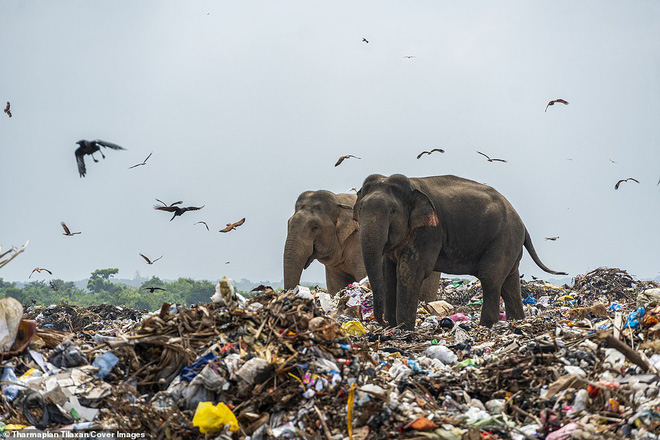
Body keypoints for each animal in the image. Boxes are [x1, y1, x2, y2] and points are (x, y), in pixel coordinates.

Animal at [356, 174, 568, 328]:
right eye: (360, 210)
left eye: (392, 211)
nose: (383, 321)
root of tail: (522, 223)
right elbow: (389, 273)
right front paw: (393, 328)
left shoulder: (429, 232)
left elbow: (408, 272)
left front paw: (403, 328)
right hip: (510, 244)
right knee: (509, 282)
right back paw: (516, 321)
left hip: (503, 239)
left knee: (490, 277)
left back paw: (486, 325)